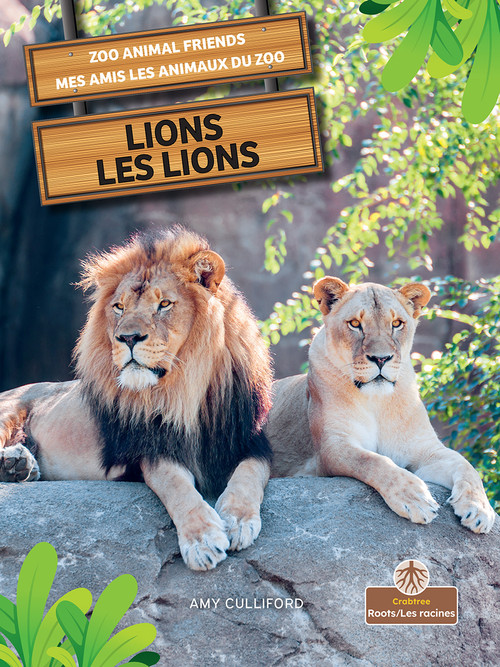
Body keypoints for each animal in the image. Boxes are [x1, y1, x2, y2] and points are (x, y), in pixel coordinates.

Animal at [0, 228, 273, 570]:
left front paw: (238, 520)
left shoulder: (252, 440)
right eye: (119, 307)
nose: (127, 337)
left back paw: (18, 465)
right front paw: (202, 540)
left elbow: (251, 473)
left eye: (164, 304)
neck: (185, 389)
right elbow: (175, 485)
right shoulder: (149, 450)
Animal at [267, 277, 497, 534]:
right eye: (355, 324)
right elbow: (373, 461)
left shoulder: (424, 449)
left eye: (396, 323)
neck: (377, 400)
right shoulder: (332, 447)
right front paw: (415, 498)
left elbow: (466, 465)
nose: (381, 358)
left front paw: (480, 509)